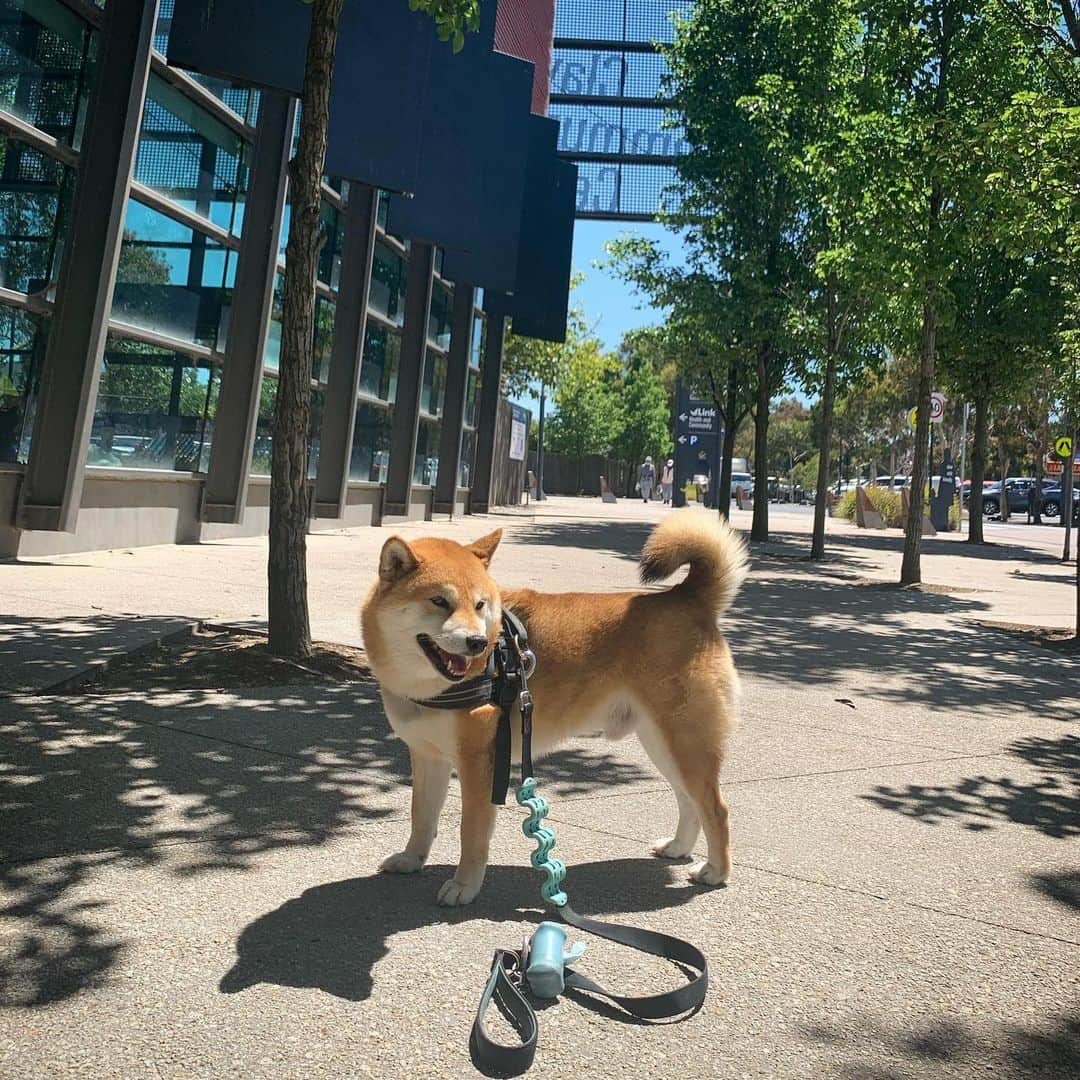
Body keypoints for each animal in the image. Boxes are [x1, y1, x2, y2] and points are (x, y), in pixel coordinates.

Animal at [358, 511, 747, 902]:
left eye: (480, 605)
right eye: (439, 601)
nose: (477, 642)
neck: (427, 684)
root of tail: (688, 597)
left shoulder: (479, 765)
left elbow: (471, 834)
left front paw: (464, 885)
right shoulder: (428, 756)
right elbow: (421, 816)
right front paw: (411, 859)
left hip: (684, 741)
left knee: (716, 808)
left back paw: (716, 870)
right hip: (664, 744)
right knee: (689, 800)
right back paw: (679, 847)